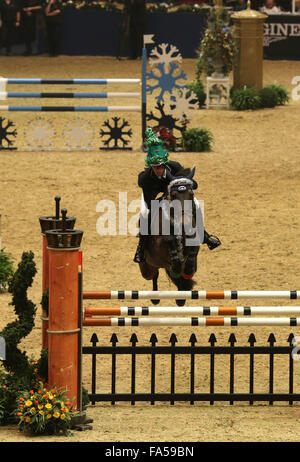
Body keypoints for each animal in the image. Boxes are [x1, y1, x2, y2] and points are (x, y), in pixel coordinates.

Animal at [138, 167, 202, 306]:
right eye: (173, 195)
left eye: (191, 194)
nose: (185, 223)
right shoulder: (159, 245)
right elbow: (169, 242)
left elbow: (192, 252)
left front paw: (188, 268)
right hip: (147, 269)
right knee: (155, 274)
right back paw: (156, 298)